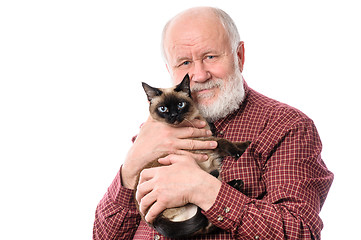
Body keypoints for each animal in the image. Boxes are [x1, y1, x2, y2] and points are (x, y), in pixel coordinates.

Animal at [135, 74, 250, 238]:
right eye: (163, 108)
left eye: (180, 105)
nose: (174, 115)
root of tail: (153, 221)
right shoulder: (204, 141)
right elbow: (223, 142)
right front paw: (244, 146)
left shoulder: (206, 138)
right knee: (204, 220)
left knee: (207, 222)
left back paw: (236, 184)